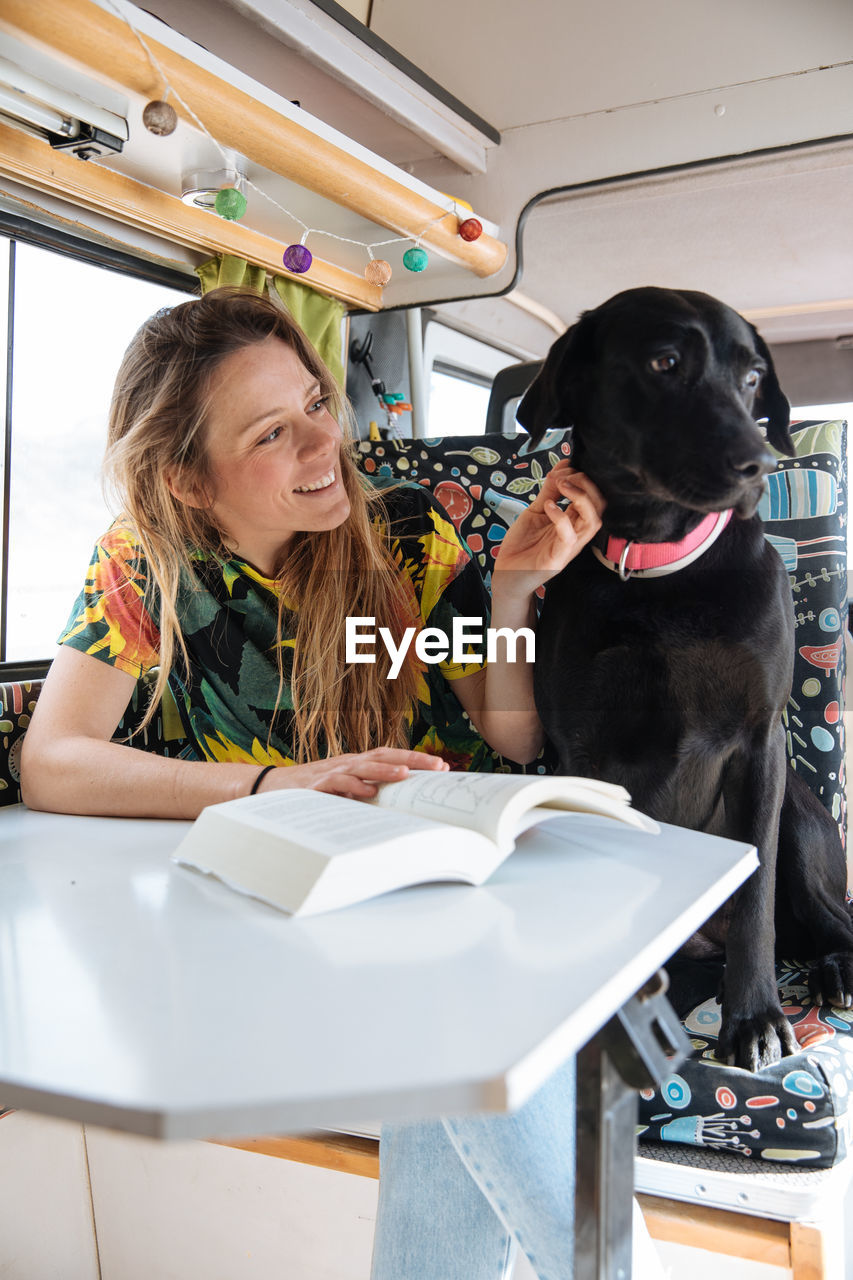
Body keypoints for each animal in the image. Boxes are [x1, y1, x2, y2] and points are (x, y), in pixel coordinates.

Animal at [514, 288, 845, 1070]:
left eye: (752, 378)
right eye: (665, 363)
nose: (760, 464)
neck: (662, 567)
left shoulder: (758, 744)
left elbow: (754, 893)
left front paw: (752, 1018)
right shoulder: (580, 752)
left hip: (800, 822)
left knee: (829, 925)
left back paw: (829, 972)